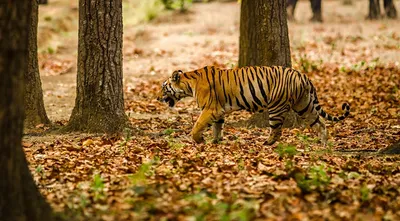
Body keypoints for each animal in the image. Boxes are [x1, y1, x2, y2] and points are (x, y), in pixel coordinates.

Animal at [157, 65, 350, 145]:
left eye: (163, 87)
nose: (157, 98)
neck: (189, 84)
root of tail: (303, 76)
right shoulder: (218, 111)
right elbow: (217, 127)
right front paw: (215, 141)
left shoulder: (209, 109)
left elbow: (197, 126)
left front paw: (200, 140)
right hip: (304, 105)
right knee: (321, 123)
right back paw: (323, 143)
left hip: (276, 106)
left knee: (277, 130)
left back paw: (267, 143)